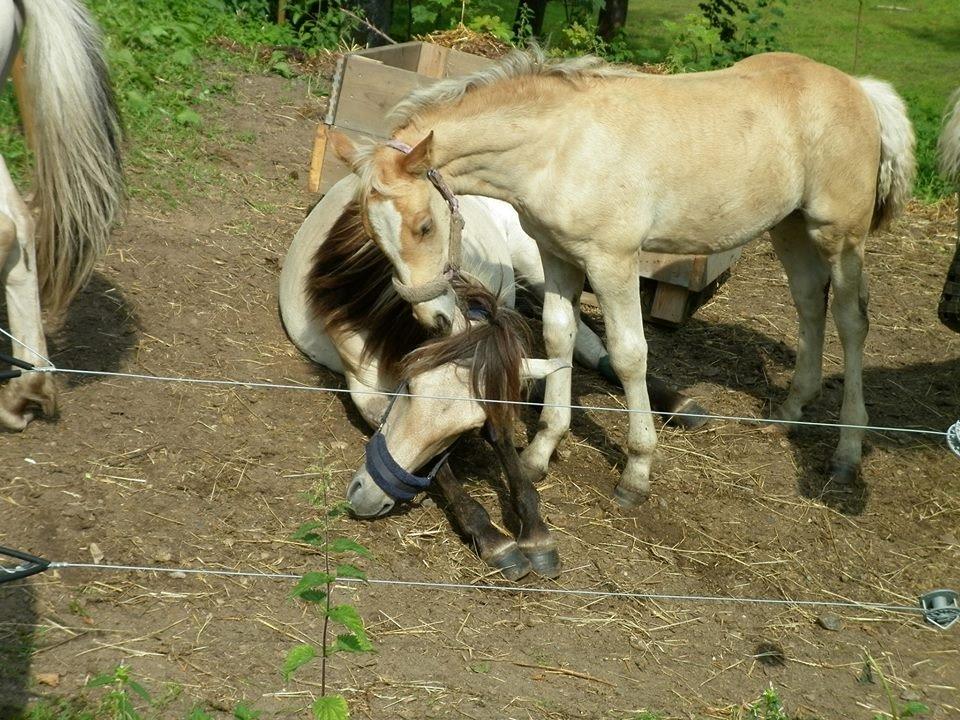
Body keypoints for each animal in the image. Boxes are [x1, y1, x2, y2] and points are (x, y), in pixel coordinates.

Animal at [328, 49, 916, 506]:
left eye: (425, 226)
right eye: (375, 236)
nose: (433, 315)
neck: (559, 148)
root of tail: (861, 89)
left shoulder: (612, 261)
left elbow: (630, 355)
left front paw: (637, 472)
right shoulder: (557, 255)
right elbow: (558, 339)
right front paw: (541, 451)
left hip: (839, 235)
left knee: (851, 320)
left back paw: (847, 452)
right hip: (790, 228)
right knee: (809, 303)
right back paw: (790, 412)